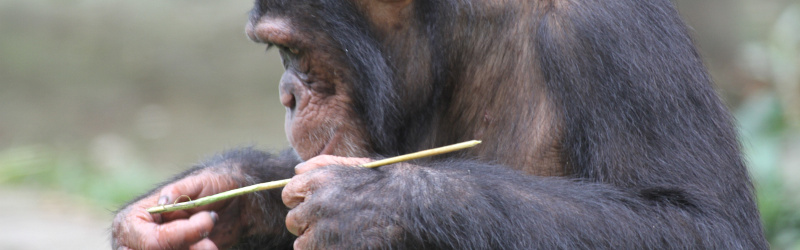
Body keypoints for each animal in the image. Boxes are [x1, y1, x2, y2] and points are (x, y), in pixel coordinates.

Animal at [109, 0, 764, 249]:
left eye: (291, 51)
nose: (288, 93)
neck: (455, 37)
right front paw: (203, 200)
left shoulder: (613, 37)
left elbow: (700, 223)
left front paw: (367, 202)